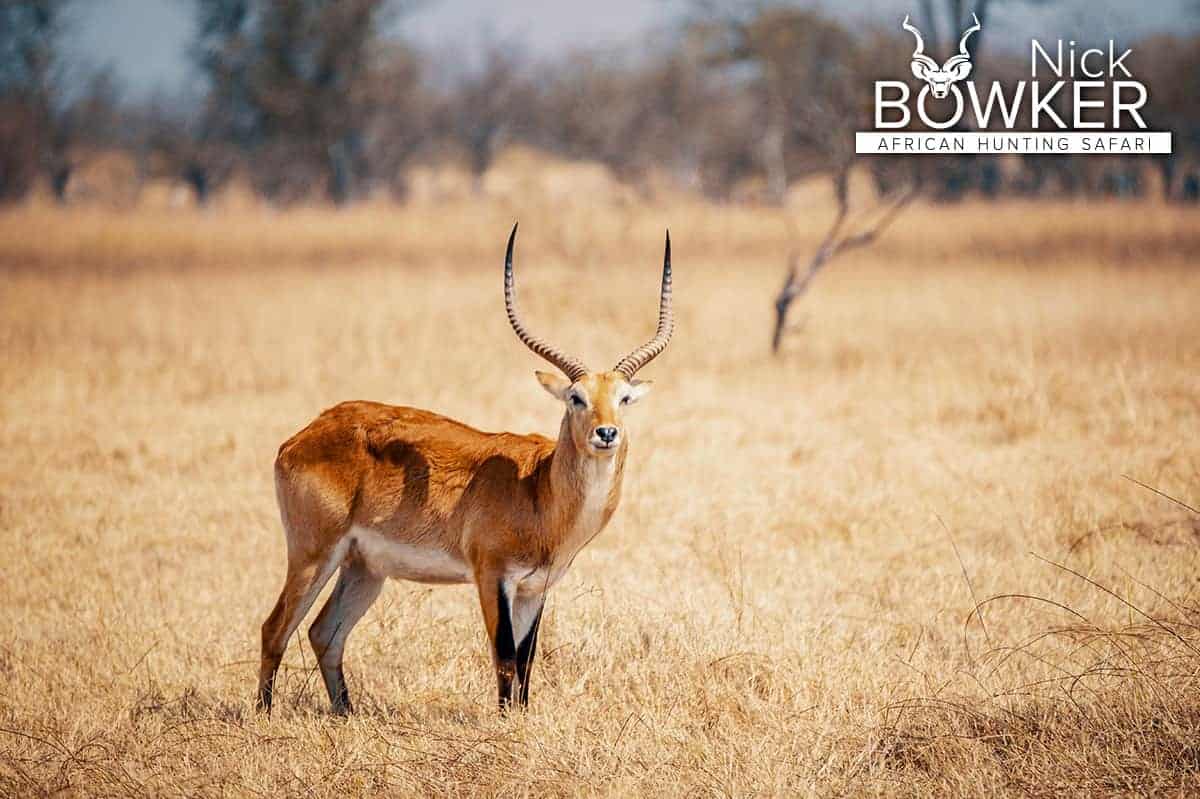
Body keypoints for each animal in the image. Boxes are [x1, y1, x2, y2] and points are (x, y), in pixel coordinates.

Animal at [259, 221, 676, 710]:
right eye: (576, 397)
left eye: (623, 398)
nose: (606, 433)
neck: (538, 491)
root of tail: (303, 435)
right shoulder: (491, 576)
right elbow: (505, 657)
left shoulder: (534, 588)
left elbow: (527, 661)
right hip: (313, 554)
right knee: (275, 628)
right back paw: (264, 714)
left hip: (364, 569)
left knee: (324, 632)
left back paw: (345, 714)